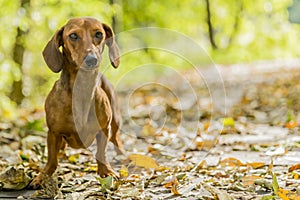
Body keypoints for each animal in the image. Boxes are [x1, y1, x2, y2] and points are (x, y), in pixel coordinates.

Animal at [31, 17, 123, 188]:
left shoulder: (104, 129)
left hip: (115, 119)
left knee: (116, 137)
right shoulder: (53, 132)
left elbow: (101, 152)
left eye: (99, 34)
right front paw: (43, 176)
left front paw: (106, 171)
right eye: (73, 35)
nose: (92, 60)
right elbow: (52, 160)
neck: (82, 90)